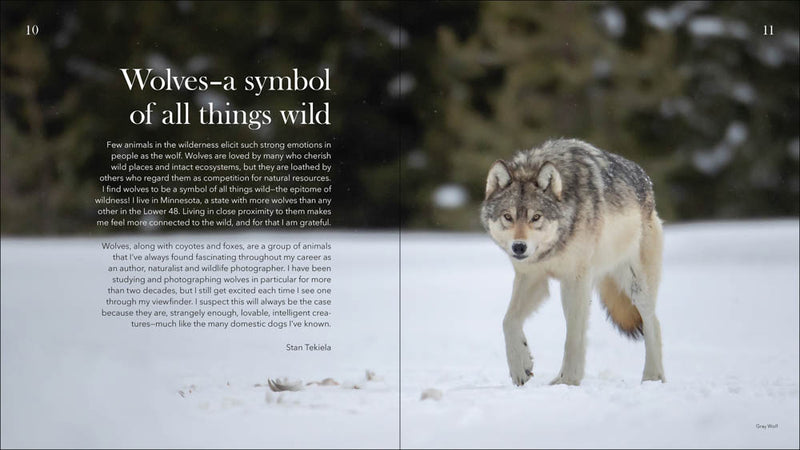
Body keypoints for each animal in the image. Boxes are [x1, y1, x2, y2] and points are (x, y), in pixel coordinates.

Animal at [481, 138, 665, 386]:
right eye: (507, 217)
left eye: (536, 217)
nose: (519, 247)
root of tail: (646, 180)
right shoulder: (532, 277)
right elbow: (508, 321)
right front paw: (520, 366)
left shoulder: (575, 280)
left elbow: (574, 336)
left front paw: (568, 381)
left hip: (636, 286)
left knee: (652, 323)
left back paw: (653, 377)